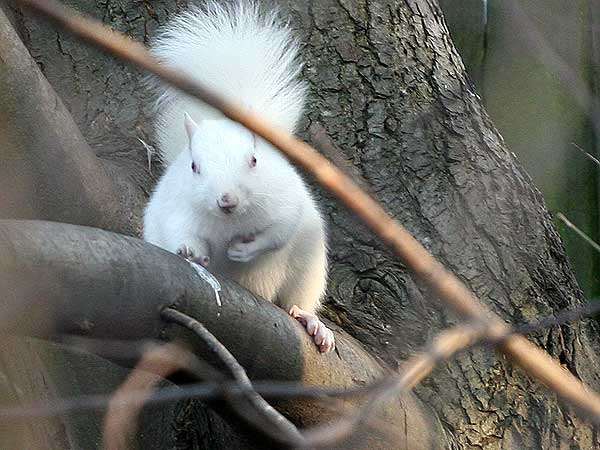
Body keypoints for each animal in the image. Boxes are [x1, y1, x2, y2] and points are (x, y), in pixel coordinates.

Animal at [144, 0, 336, 352]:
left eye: (254, 160)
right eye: (194, 166)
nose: (227, 200)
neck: (229, 222)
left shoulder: (285, 205)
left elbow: (278, 234)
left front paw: (244, 251)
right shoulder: (176, 208)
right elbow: (178, 230)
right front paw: (192, 251)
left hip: (308, 265)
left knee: (297, 298)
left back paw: (312, 322)